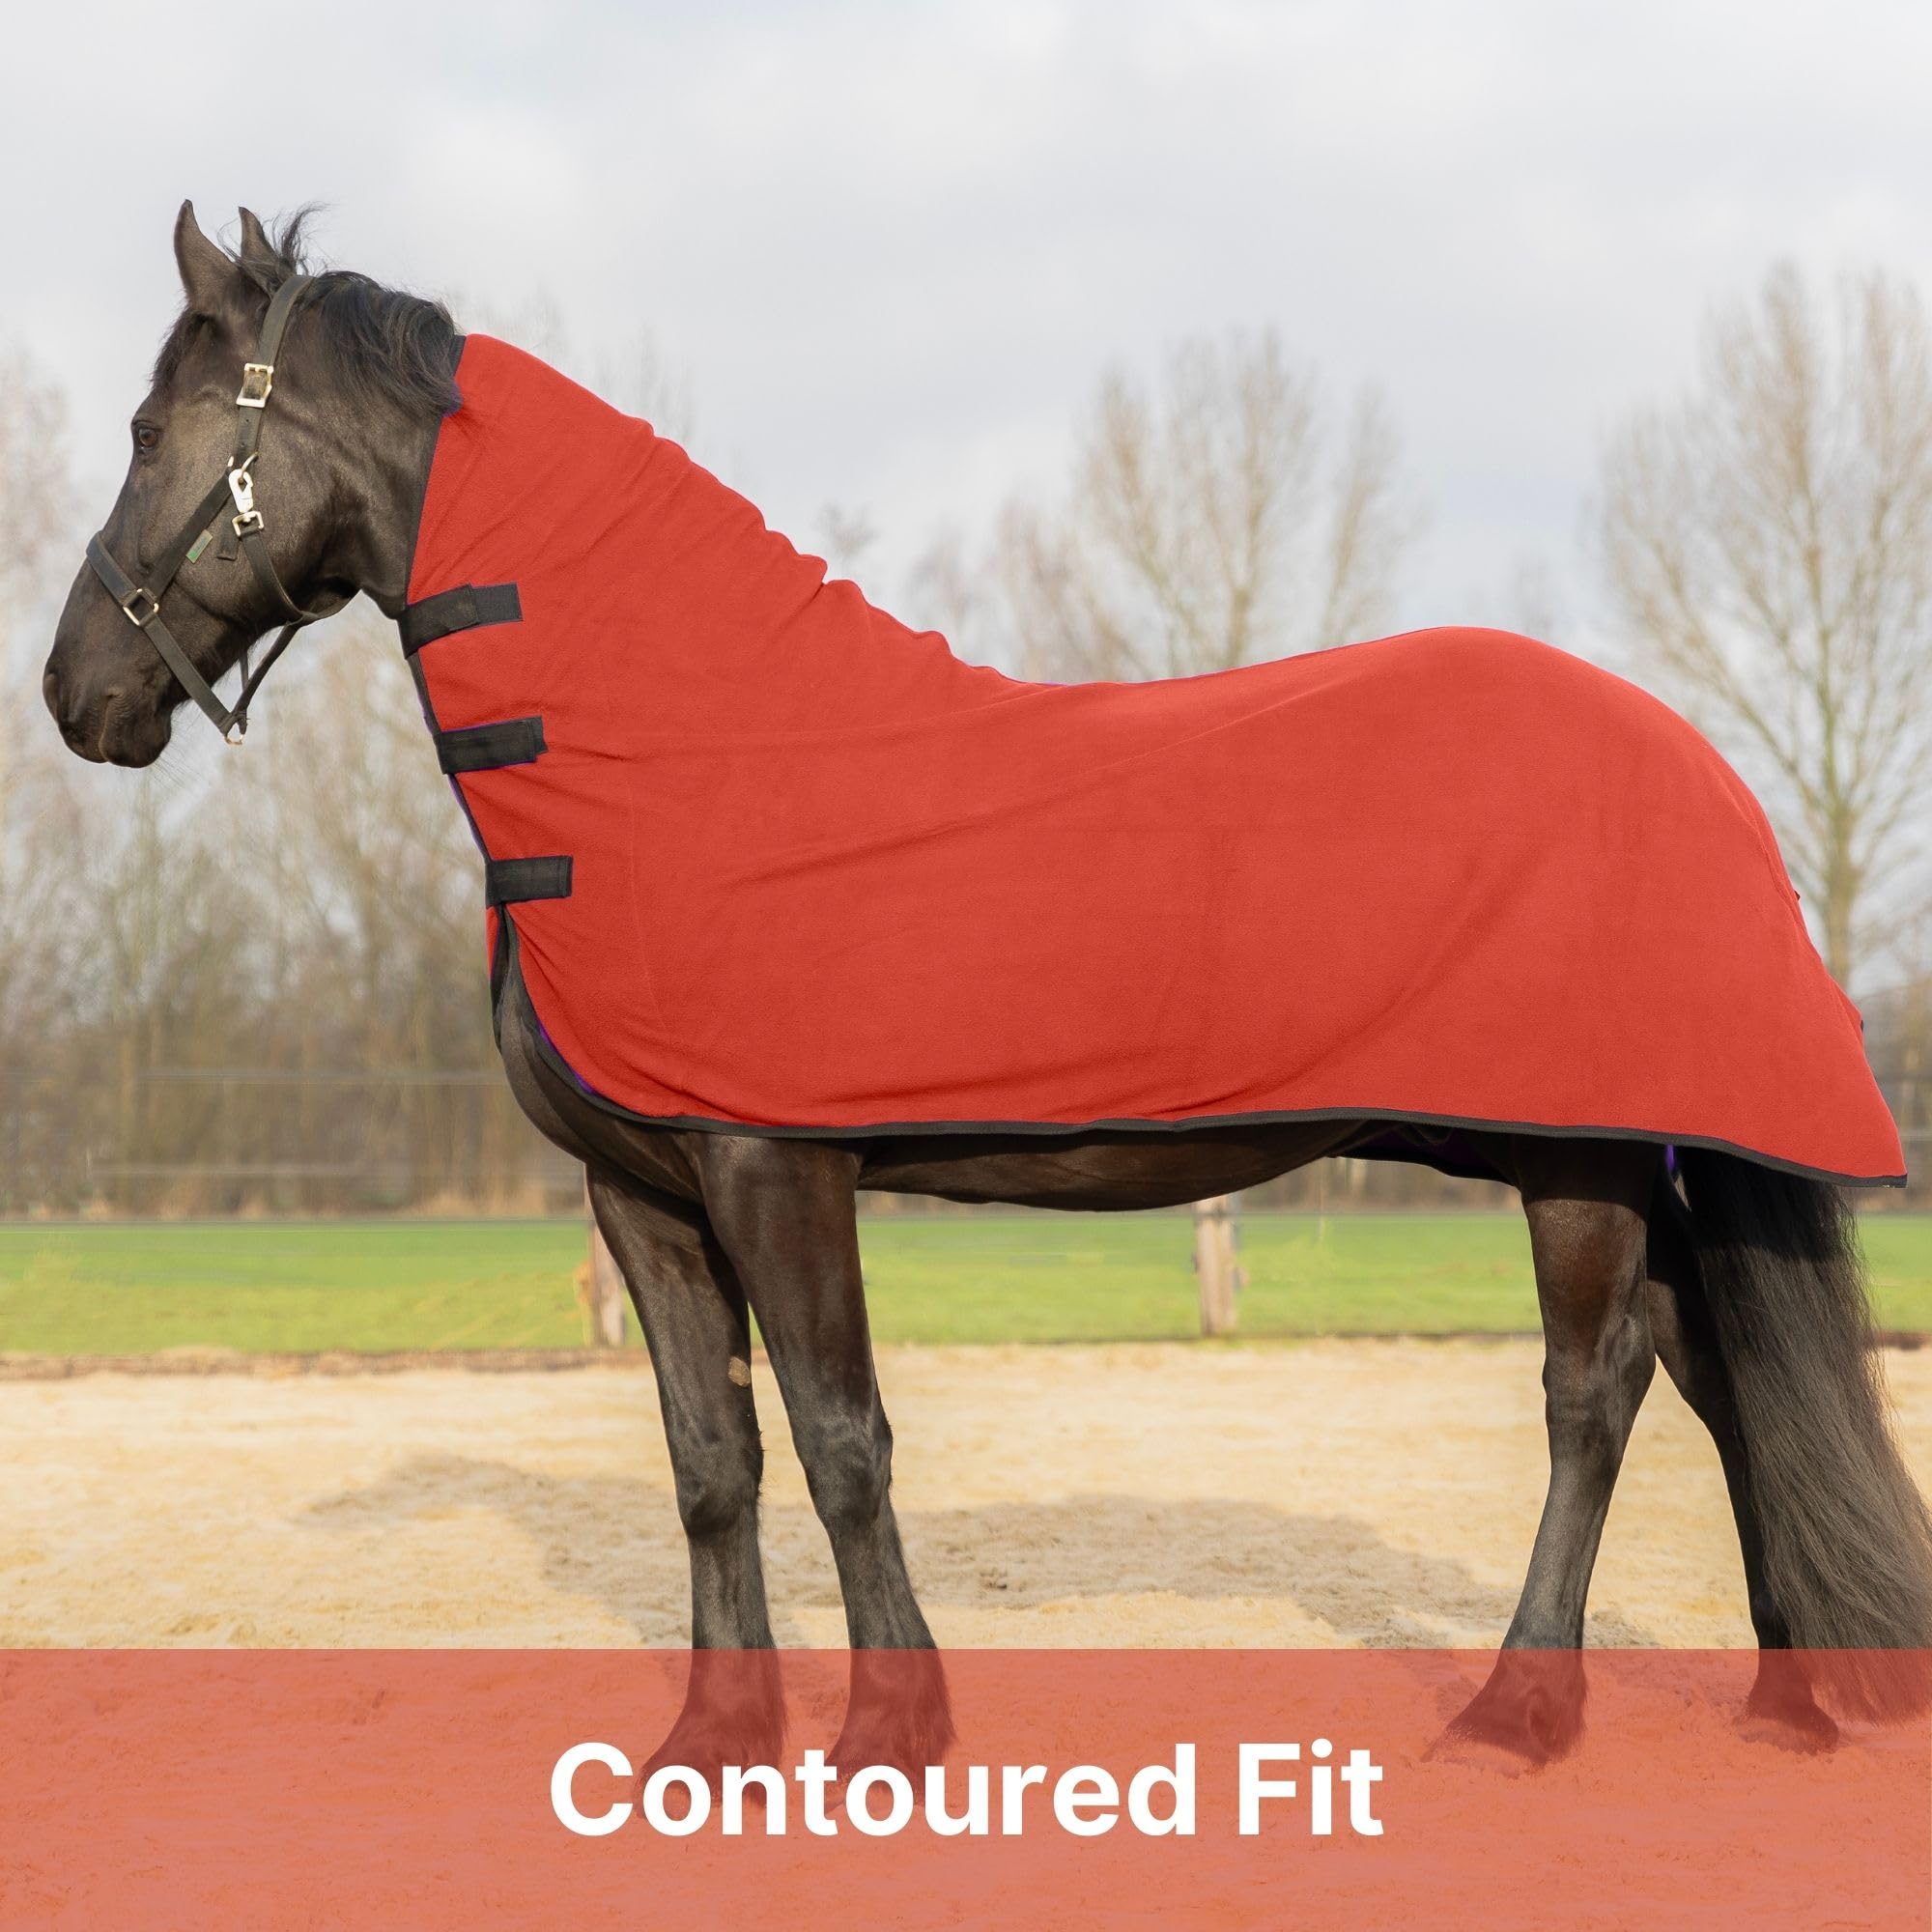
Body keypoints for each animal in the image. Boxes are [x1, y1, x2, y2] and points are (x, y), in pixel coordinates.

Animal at [43, 202, 1932, 1775]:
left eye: (146, 434)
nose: (75, 695)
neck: (679, 752)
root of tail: (1699, 764)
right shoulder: (640, 1193)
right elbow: (710, 1462)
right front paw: (712, 1746)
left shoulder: (775, 1167)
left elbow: (841, 1441)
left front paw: (891, 1732)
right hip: (1592, 1147)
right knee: (1711, 1366)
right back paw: (1788, 1702)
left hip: (1574, 1164)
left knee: (1592, 1398)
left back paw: (1518, 1713)